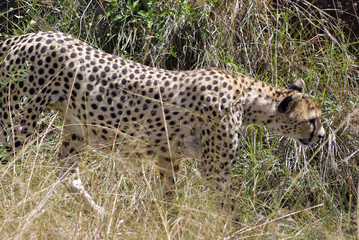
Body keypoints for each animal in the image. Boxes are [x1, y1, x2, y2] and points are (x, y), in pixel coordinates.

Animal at [0, 31, 326, 214]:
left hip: (75, 128)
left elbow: (169, 197)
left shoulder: (167, 157)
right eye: (312, 121)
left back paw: (101, 213)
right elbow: (229, 206)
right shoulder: (214, 170)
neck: (249, 100)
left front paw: (165, 220)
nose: (322, 136)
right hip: (17, 119)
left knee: (67, 175)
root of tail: (23, 37)